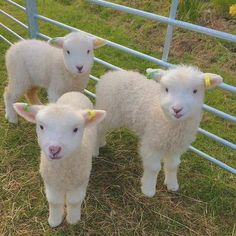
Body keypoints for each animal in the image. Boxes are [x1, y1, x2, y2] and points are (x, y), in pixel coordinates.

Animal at [12, 91, 105, 227]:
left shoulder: (80, 182)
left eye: (75, 129)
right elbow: (54, 202)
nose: (54, 149)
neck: (62, 171)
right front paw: (54, 221)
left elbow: (74, 201)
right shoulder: (51, 182)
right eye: (41, 126)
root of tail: (74, 92)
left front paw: (73, 220)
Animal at [94, 66, 223, 197]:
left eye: (195, 91)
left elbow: (173, 165)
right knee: (98, 128)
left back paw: (101, 142)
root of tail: (111, 74)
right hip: (109, 110)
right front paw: (148, 190)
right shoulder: (152, 141)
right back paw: (95, 150)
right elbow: (153, 168)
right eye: (166, 89)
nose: (177, 109)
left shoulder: (176, 146)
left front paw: (172, 185)